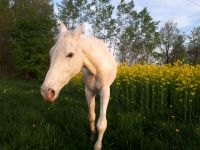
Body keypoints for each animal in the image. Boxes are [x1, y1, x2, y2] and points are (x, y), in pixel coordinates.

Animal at [41, 22, 117, 150]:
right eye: (51, 54)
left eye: (70, 54)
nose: (46, 91)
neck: (95, 69)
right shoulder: (88, 92)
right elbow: (91, 116)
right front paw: (92, 136)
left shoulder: (105, 91)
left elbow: (102, 123)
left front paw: (97, 145)